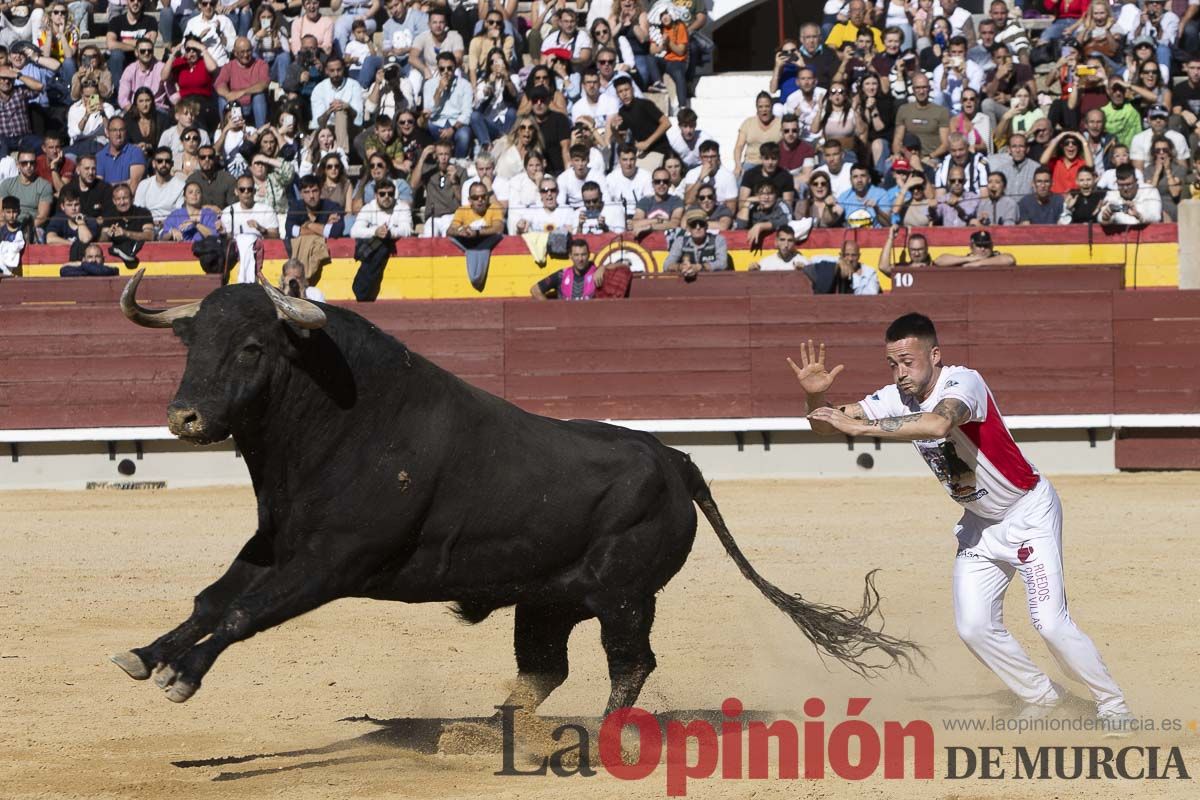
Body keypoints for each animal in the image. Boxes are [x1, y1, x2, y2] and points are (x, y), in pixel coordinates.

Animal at [110, 272, 916, 710]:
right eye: (191, 343)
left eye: (252, 346)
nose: (184, 417)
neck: (335, 422)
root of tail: (672, 457)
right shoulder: (275, 542)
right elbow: (210, 599)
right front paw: (146, 655)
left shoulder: (330, 562)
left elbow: (242, 611)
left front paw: (181, 676)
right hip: (547, 598)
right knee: (545, 667)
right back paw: (497, 732)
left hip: (624, 596)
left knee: (630, 664)